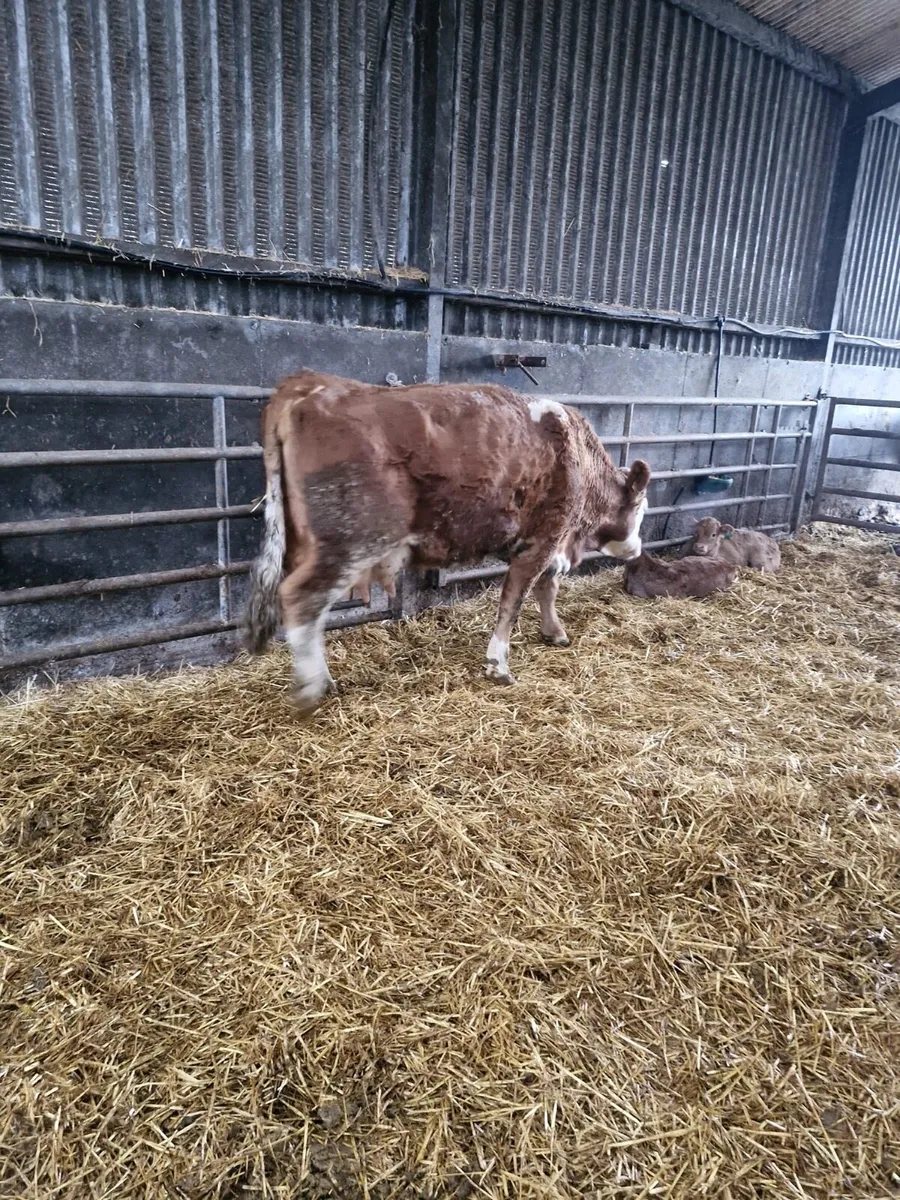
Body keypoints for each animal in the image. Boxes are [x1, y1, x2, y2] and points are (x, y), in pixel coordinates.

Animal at [244, 371, 651, 713]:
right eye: (642, 507)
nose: (638, 549)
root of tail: (312, 384)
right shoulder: (542, 540)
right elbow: (513, 603)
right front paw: (498, 665)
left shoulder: (550, 545)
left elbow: (546, 590)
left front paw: (554, 633)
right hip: (348, 544)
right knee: (302, 598)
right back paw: (314, 689)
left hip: (303, 540)